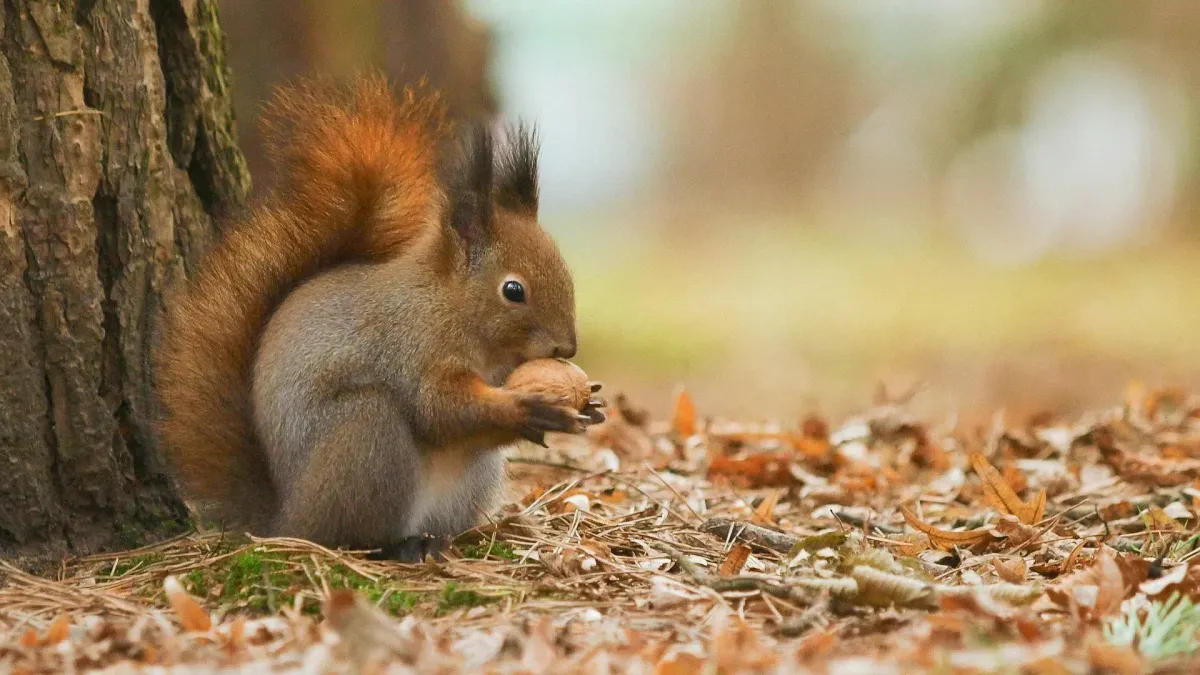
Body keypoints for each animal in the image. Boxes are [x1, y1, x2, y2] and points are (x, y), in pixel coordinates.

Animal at [154, 73, 602, 561]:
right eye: (513, 290)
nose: (567, 347)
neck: (450, 307)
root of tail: (283, 519)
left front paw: (587, 405)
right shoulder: (413, 347)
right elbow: (439, 409)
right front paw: (527, 408)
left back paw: (436, 540)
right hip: (367, 439)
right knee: (347, 531)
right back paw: (397, 546)